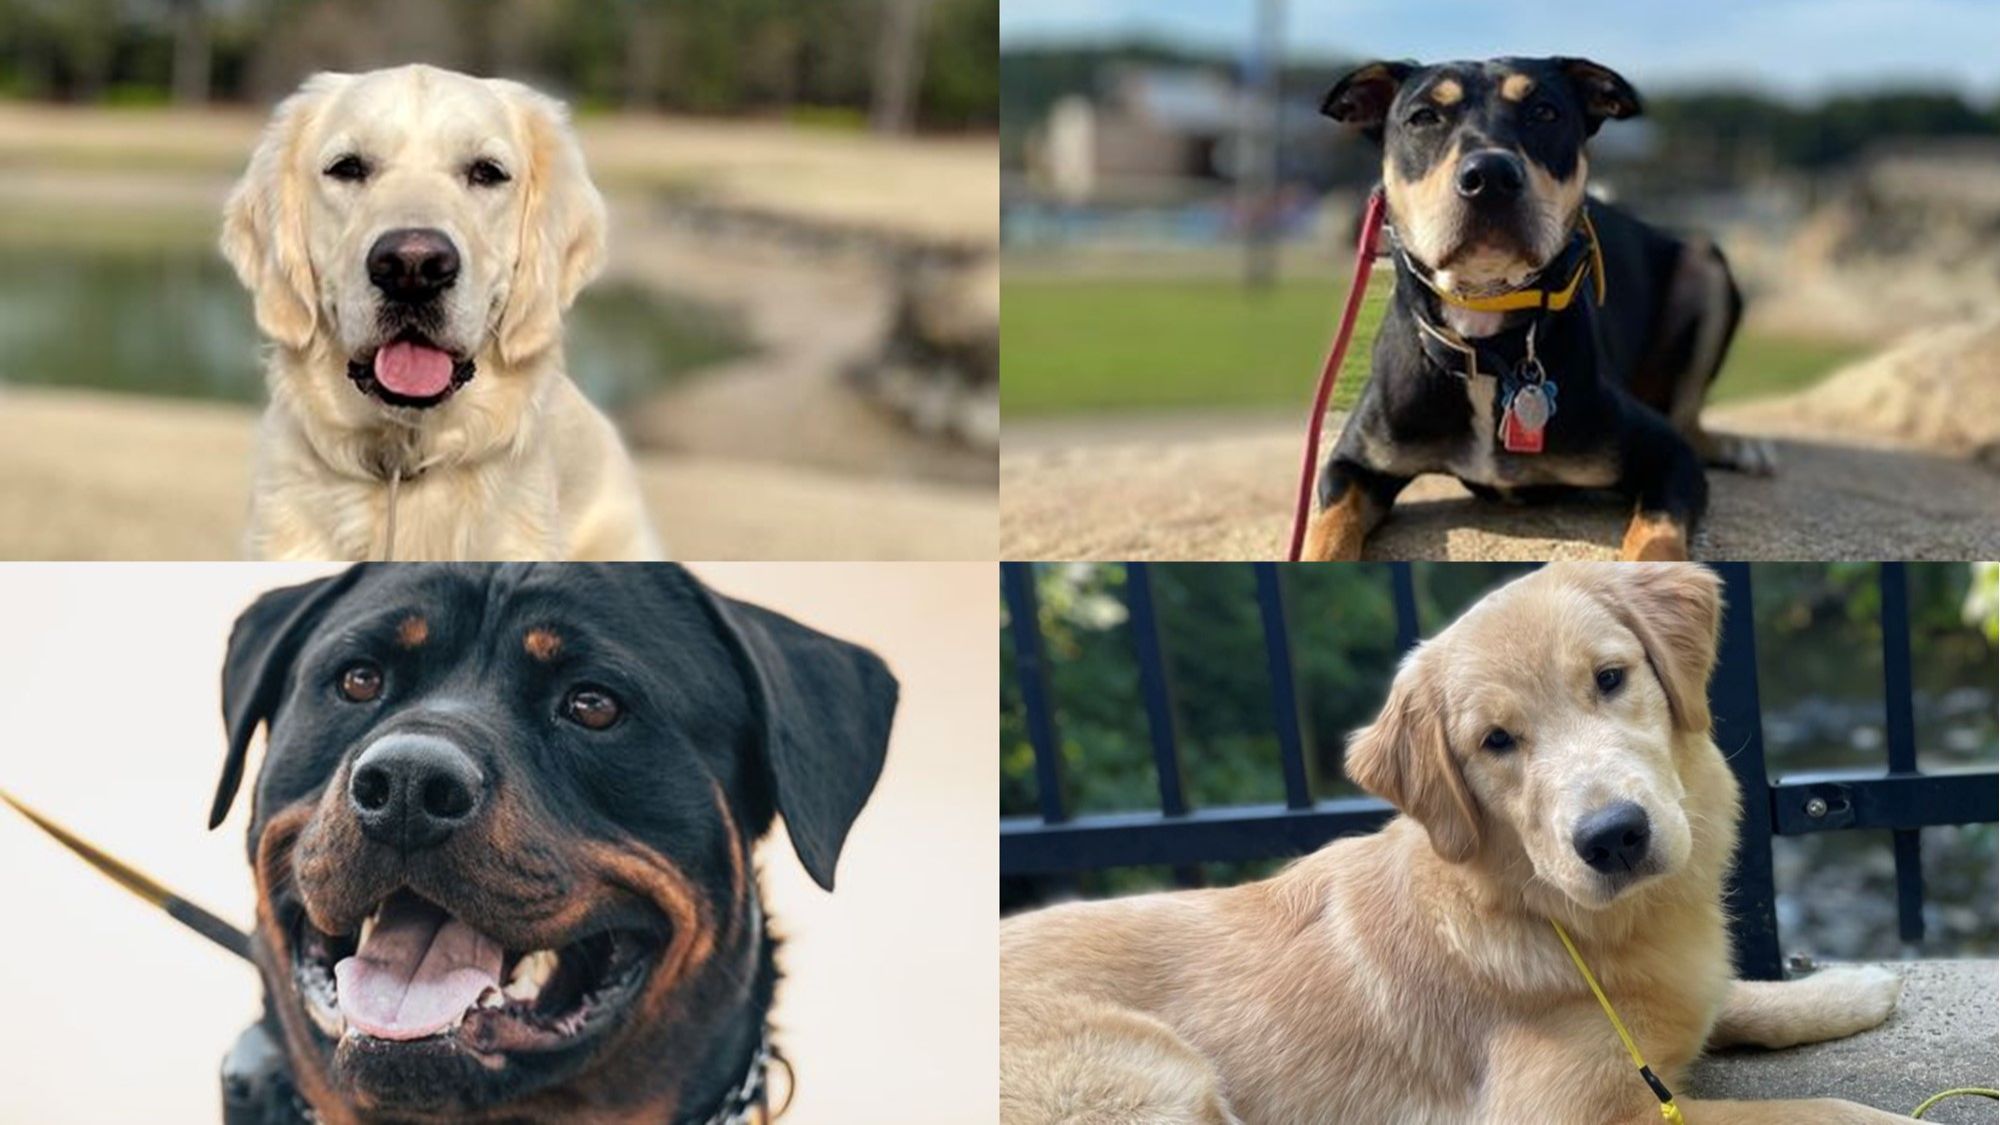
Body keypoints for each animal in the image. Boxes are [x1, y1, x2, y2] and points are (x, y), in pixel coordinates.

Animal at [1000, 564, 1904, 1112]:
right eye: (1495, 741)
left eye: (1611, 678)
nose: (1613, 837)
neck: (1549, 914)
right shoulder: (1567, 1114)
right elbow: (1822, 1110)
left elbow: (1732, 994)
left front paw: (1851, 986)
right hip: (1154, 1075)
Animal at [1304, 57, 1776, 560]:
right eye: (1424, 117)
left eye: (1545, 112)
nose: (1490, 176)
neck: (1487, 340)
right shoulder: (1353, 464)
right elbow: (1326, 531)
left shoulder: (1667, 456)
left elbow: (1656, 537)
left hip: (1706, 265)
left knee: (1689, 419)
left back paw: (1738, 448)